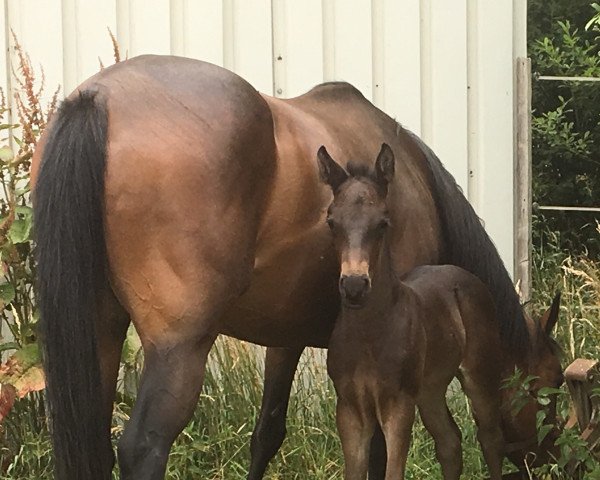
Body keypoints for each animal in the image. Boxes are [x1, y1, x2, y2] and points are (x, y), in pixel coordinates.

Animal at [318, 145, 506, 480]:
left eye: (383, 222)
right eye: (331, 221)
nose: (354, 286)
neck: (369, 335)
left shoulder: (398, 403)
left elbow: (394, 471)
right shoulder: (350, 407)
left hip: (480, 374)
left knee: (491, 439)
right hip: (430, 387)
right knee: (450, 441)